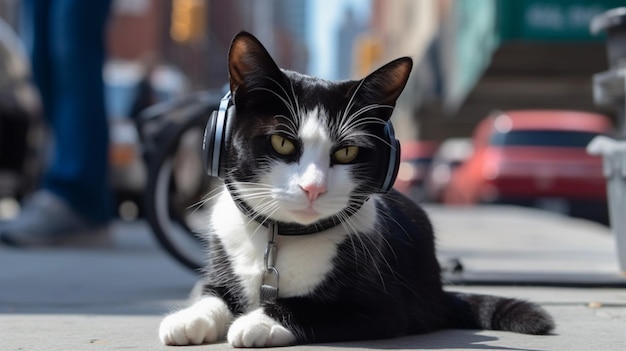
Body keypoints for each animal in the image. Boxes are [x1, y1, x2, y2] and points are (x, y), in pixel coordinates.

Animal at [157, 31, 552, 350]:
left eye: (346, 152)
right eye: (282, 143)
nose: (312, 188)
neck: (281, 238)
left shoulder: (385, 306)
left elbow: (314, 308)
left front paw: (259, 320)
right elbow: (212, 293)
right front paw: (189, 318)